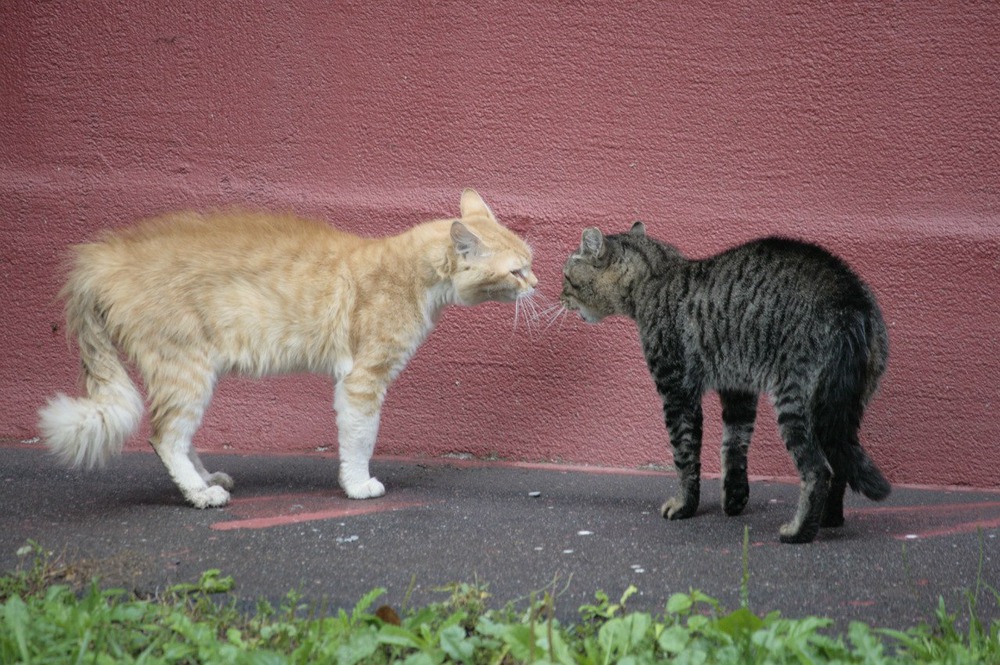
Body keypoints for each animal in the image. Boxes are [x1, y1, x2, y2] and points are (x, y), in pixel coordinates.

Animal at [39, 189, 540, 506]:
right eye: (517, 271)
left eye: (530, 263)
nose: (537, 284)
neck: (410, 273)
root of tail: (101, 258)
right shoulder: (363, 381)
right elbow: (360, 440)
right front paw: (358, 485)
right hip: (185, 371)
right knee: (165, 436)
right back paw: (199, 494)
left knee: (180, 436)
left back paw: (205, 478)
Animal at [560, 224, 896, 544]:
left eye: (565, 275)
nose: (559, 294)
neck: (657, 274)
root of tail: (850, 299)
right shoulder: (738, 390)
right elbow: (733, 446)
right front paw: (734, 499)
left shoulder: (677, 392)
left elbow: (684, 455)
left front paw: (684, 505)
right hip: (841, 408)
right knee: (840, 464)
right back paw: (830, 518)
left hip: (795, 400)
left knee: (818, 470)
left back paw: (800, 531)